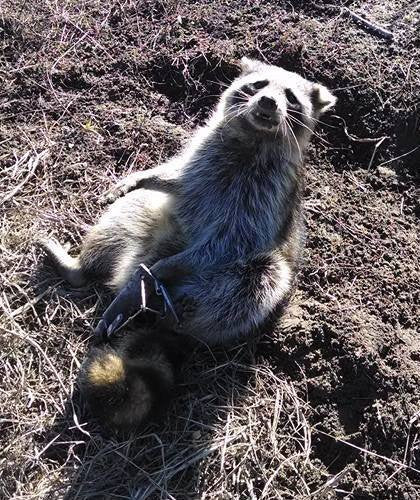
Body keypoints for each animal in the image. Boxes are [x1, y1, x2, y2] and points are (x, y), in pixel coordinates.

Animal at [41, 58, 336, 429]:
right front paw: (144, 176)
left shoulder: (263, 200)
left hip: (235, 284)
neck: (252, 138)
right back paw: (82, 267)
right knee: (129, 210)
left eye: (291, 98)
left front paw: (159, 270)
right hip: (146, 221)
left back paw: (164, 299)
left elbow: (229, 243)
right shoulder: (198, 162)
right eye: (258, 85)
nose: (269, 102)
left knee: (257, 279)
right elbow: (174, 179)